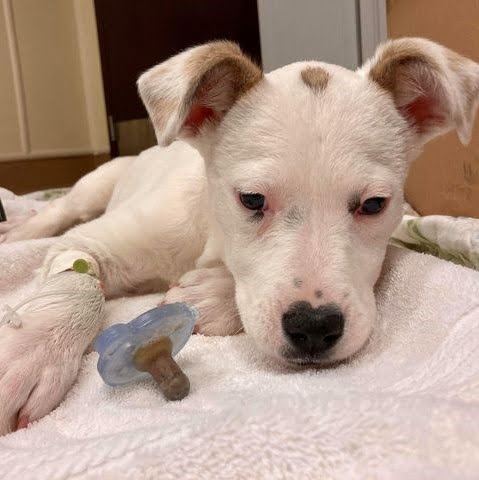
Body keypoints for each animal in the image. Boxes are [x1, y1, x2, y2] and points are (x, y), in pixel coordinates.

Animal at [0, 38, 478, 435]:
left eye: (375, 205)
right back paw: (17, 229)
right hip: (94, 188)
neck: (209, 234)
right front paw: (32, 352)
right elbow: (78, 282)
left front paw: (211, 295)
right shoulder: (92, 242)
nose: (314, 329)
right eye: (251, 199)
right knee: (57, 212)